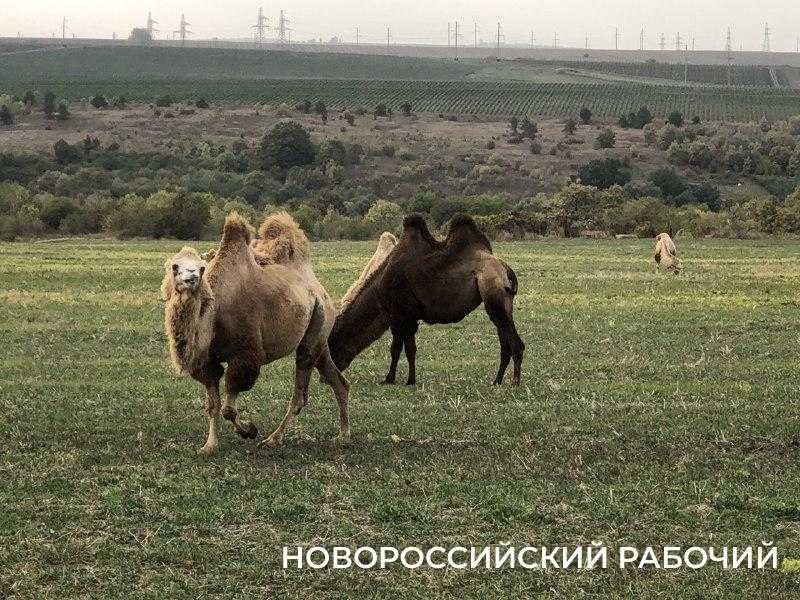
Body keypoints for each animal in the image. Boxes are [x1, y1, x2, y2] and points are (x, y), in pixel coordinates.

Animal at [162, 211, 350, 455]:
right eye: (175, 267)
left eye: (201, 269)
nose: (190, 279)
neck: (214, 313)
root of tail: (318, 288)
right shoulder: (207, 361)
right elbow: (213, 405)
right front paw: (210, 445)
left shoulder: (245, 353)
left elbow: (228, 408)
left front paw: (249, 430)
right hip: (319, 335)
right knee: (338, 380)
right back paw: (343, 436)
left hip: (317, 324)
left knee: (301, 388)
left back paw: (274, 439)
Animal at [328, 214, 524, 386]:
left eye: (332, 344)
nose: (330, 374)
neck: (379, 293)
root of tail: (506, 270)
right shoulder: (407, 318)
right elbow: (407, 349)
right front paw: (406, 379)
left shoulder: (400, 315)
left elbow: (399, 349)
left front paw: (397, 379)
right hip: (502, 303)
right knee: (505, 344)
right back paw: (497, 381)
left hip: (493, 295)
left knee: (516, 343)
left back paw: (514, 382)